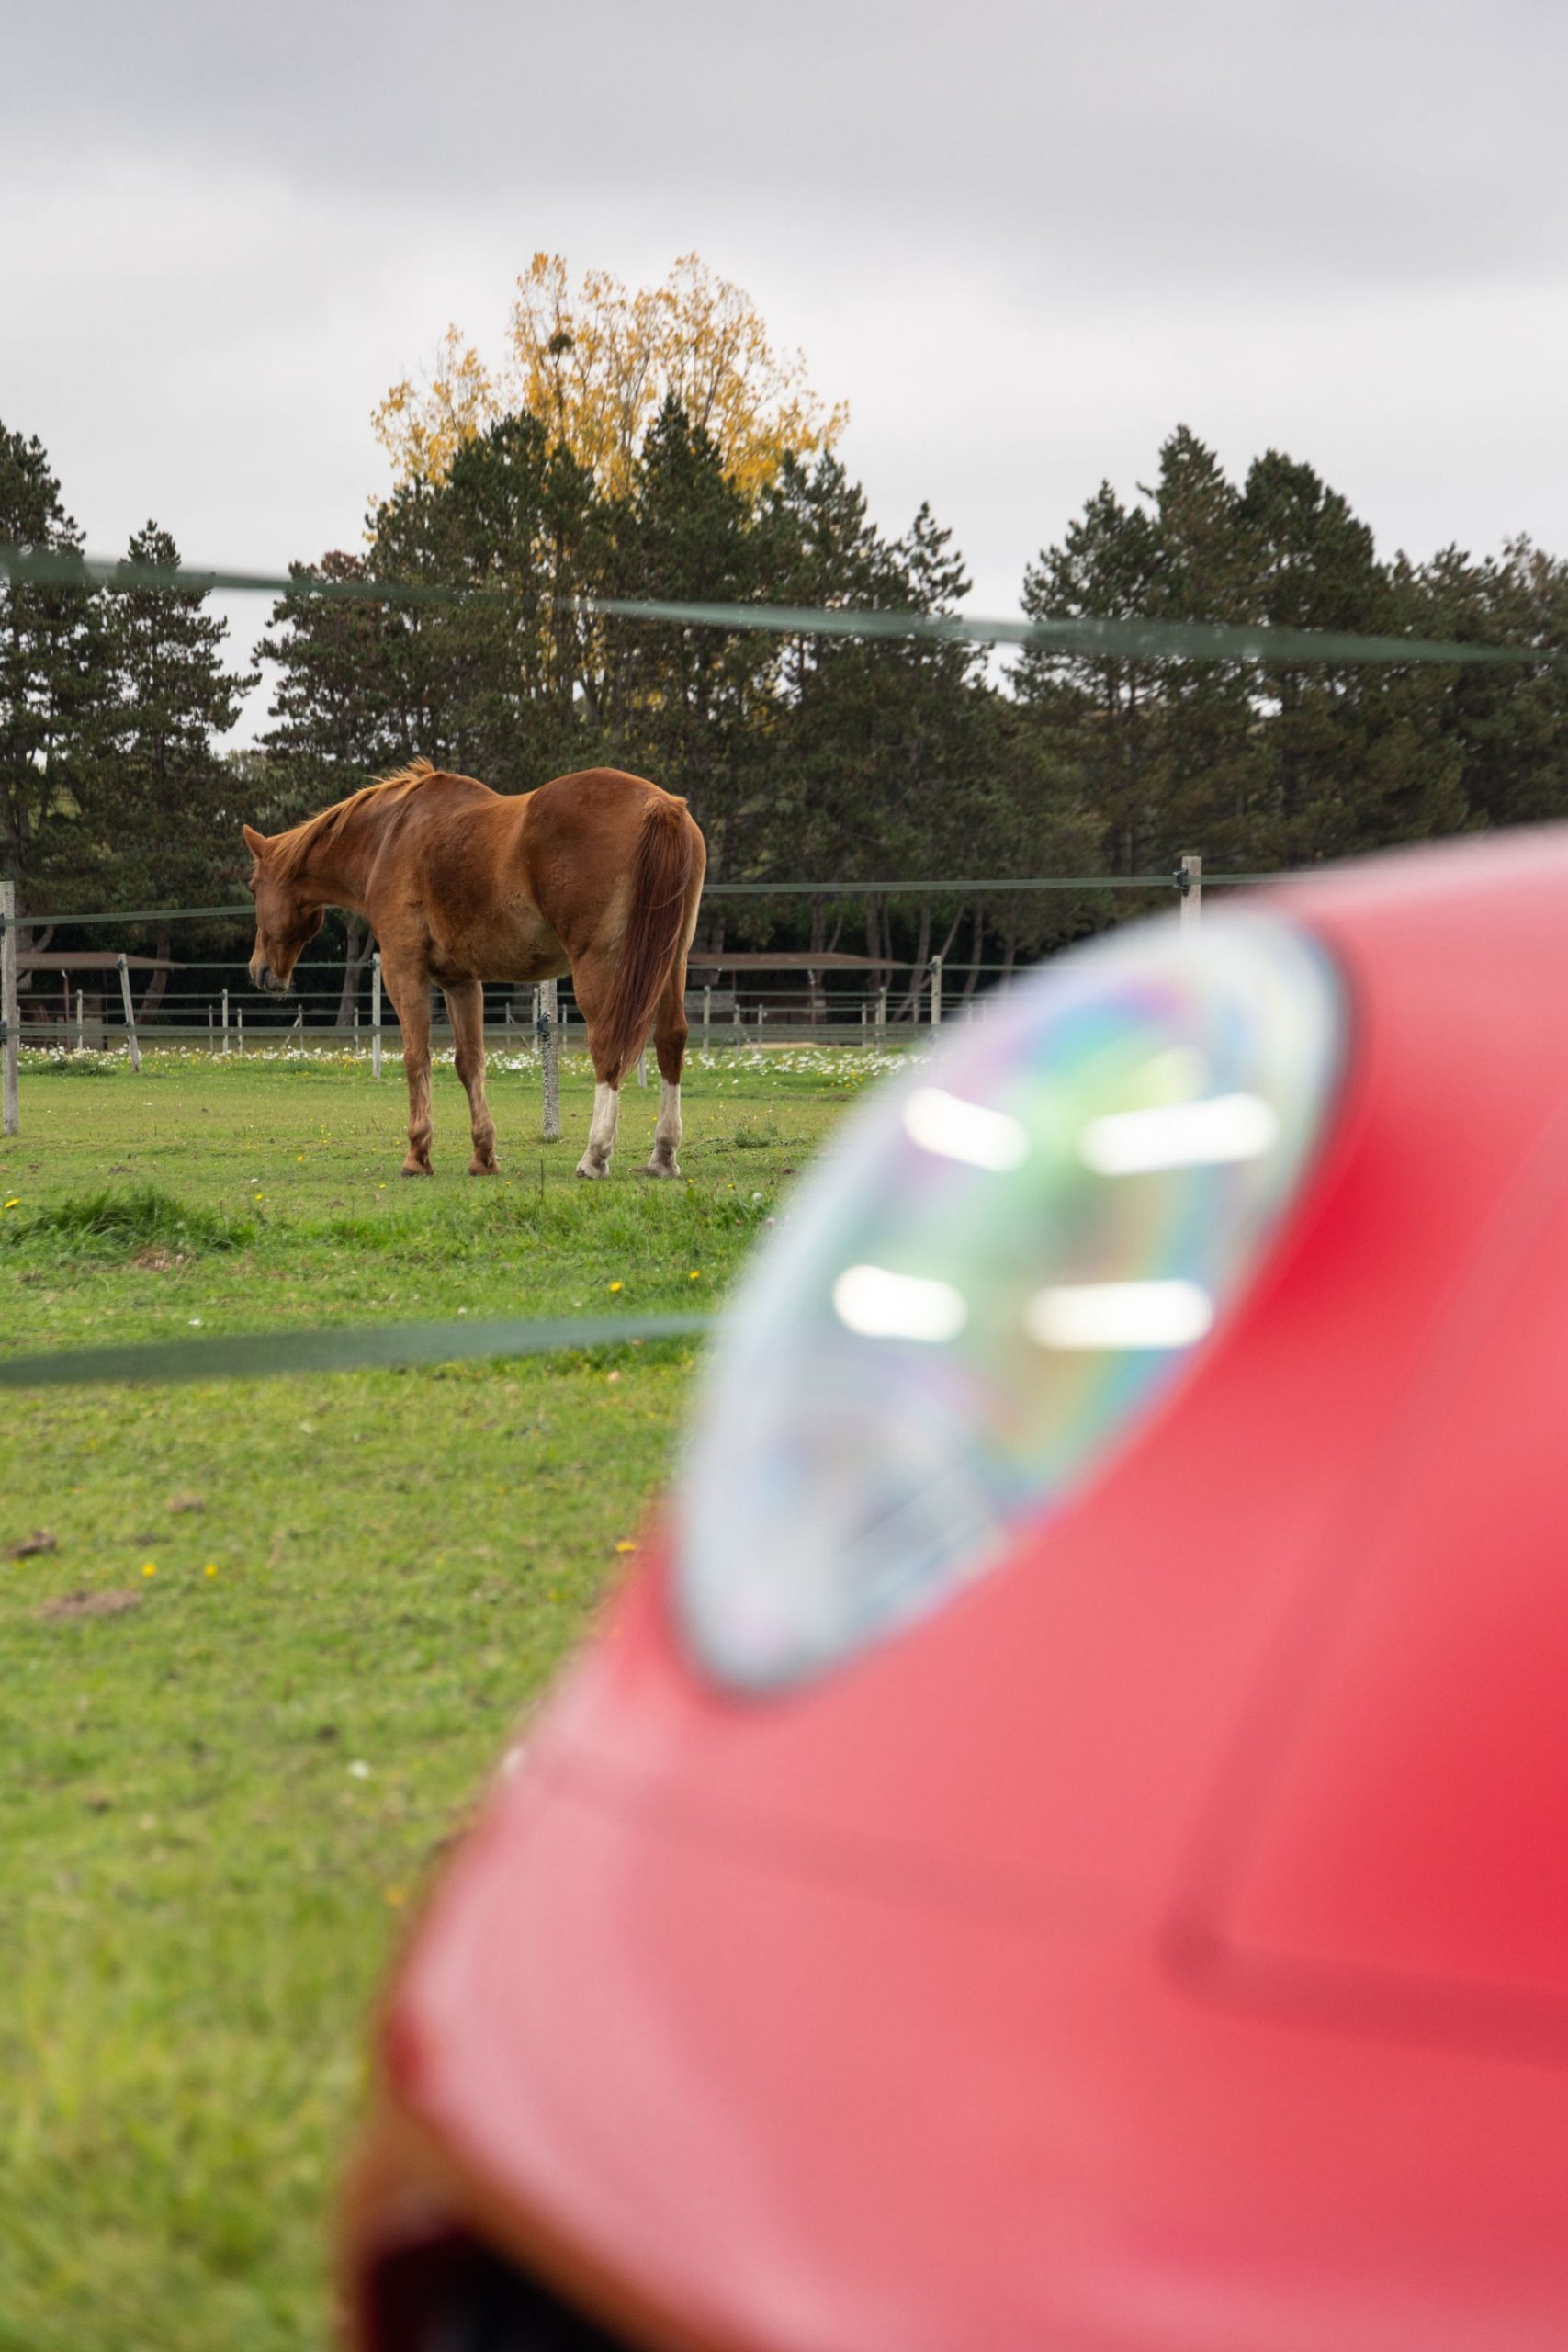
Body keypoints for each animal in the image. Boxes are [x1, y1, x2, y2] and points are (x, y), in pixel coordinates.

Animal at [242, 761, 706, 1180]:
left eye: (252, 887)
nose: (260, 970)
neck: (389, 838)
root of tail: (660, 805)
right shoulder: (460, 981)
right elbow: (470, 1063)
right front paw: (484, 1156)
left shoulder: (403, 970)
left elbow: (416, 1056)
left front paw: (417, 1155)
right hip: (671, 961)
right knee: (671, 1040)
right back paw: (663, 1157)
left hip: (598, 965)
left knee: (608, 1046)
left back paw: (594, 1156)